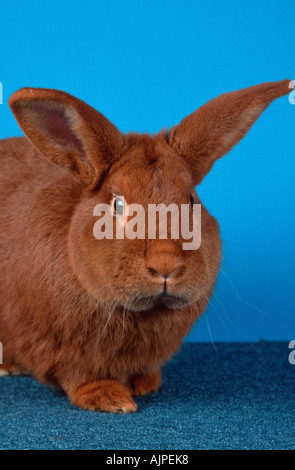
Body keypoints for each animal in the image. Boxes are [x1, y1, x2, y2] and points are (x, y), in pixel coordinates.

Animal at [0, 80, 292, 412]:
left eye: (192, 200)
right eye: (117, 204)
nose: (166, 266)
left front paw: (146, 384)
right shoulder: (61, 351)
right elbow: (80, 377)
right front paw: (111, 399)